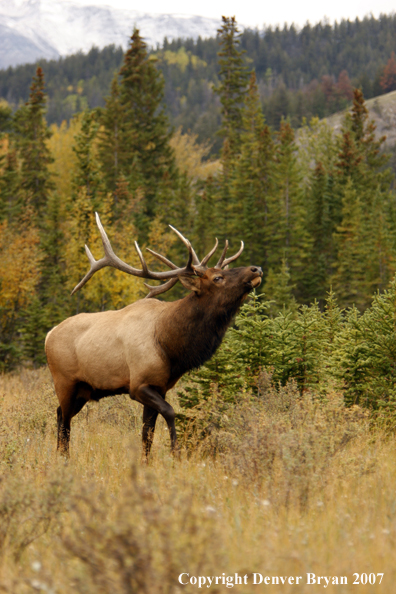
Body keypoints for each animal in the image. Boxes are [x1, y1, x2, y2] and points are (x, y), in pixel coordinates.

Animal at [45, 213, 262, 454]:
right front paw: (175, 451)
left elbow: (147, 434)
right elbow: (169, 413)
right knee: (64, 422)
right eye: (217, 278)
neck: (170, 345)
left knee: (59, 415)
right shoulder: (139, 384)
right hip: (64, 382)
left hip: (84, 390)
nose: (256, 269)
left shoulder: (160, 386)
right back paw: (63, 457)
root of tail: (49, 334)